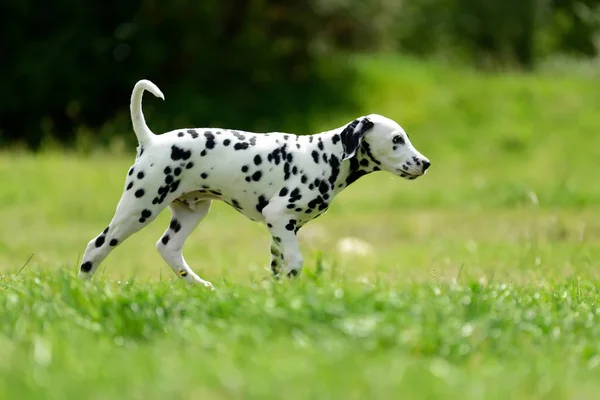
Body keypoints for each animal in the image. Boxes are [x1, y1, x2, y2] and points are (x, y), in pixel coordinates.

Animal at [78, 79, 432, 290]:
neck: (324, 156)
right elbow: (296, 264)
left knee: (167, 248)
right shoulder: (279, 217)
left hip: (191, 213)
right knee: (96, 247)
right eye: (397, 140)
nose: (425, 163)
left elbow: (279, 267)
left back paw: (199, 285)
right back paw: (82, 289)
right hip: (139, 208)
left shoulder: (283, 229)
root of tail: (151, 141)